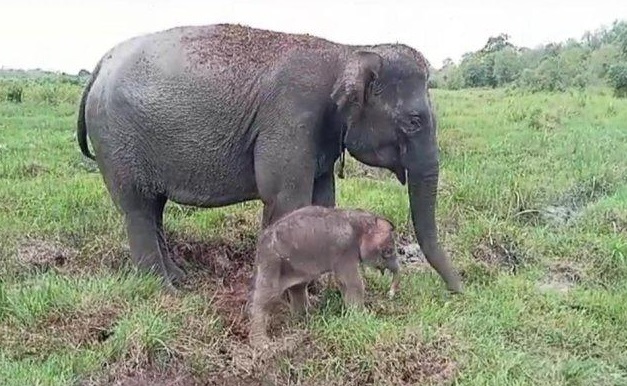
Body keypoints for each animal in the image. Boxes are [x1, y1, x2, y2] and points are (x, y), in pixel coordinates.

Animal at [76, 23, 464, 292]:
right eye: (414, 121)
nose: (459, 291)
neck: (349, 51)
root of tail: (100, 64)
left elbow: (321, 201)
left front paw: (318, 286)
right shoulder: (291, 117)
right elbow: (285, 199)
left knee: (153, 207)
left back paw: (179, 277)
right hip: (118, 141)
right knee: (138, 208)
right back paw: (164, 290)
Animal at [248, 207, 400, 346]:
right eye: (388, 251)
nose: (390, 294)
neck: (359, 218)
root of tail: (260, 243)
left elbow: (344, 283)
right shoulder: (345, 251)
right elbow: (352, 283)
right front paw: (362, 316)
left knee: (298, 288)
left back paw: (304, 321)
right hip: (272, 262)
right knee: (267, 296)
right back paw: (261, 343)